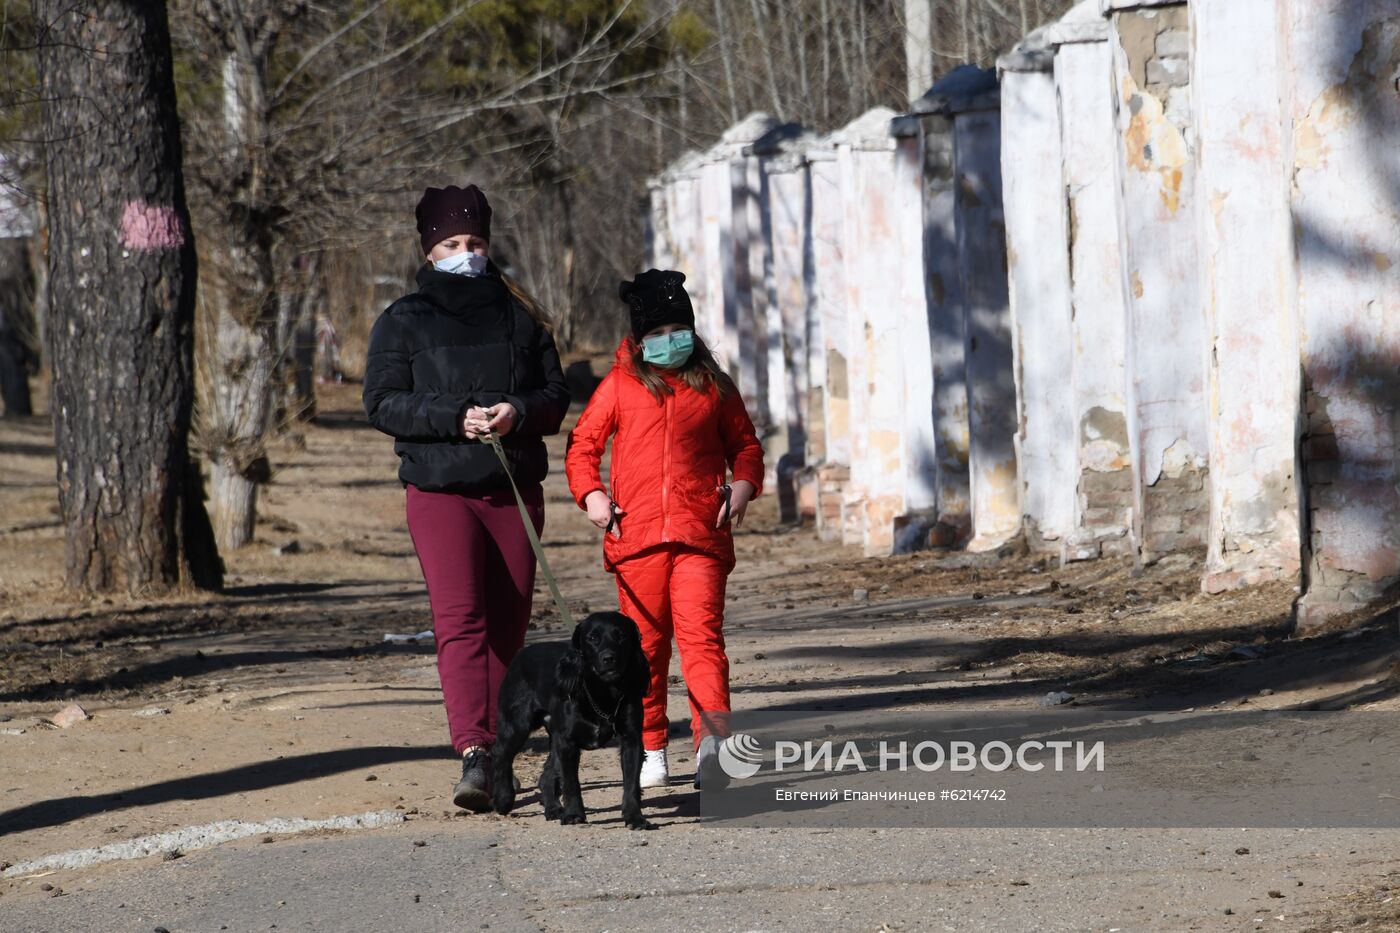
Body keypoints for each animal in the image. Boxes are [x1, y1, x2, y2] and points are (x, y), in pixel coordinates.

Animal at [492, 610, 655, 829]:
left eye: (621, 635)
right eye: (592, 638)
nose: (609, 658)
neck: (603, 693)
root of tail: (521, 654)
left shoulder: (632, 739)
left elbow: (631, 783)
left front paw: (634, 817)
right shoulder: (568, 741)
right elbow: (571, 783)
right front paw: (574, 814)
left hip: (552, 734)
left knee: (546, 773)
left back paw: (553, 809)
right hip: (517, 724)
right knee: (501, 755)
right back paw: (503, 799)